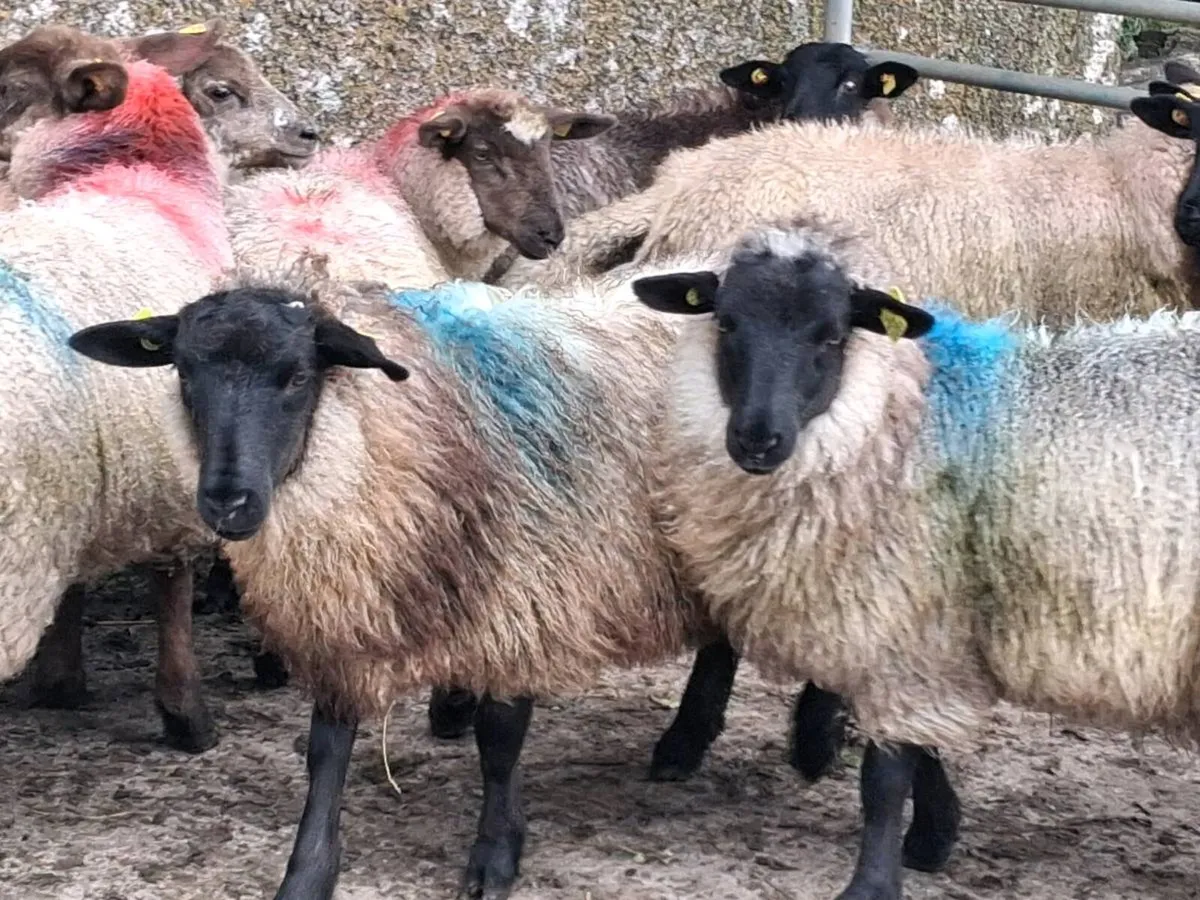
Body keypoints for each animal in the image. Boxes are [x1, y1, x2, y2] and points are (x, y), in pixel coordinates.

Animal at [0, 40, 232, 753]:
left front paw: (61, 683)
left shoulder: (81, 489)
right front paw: (188, 717)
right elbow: (173, 591)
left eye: (7, 88)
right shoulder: (173, 474)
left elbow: (77, 583)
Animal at [629, 218, 1200, 899]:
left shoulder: (906, 619)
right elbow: (920, 750)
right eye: (727, 323)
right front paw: (933, 837)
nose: (757, 440)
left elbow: (883, 780)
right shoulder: (920, 630)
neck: (906, 424)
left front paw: (872, 883)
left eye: (832, 334)